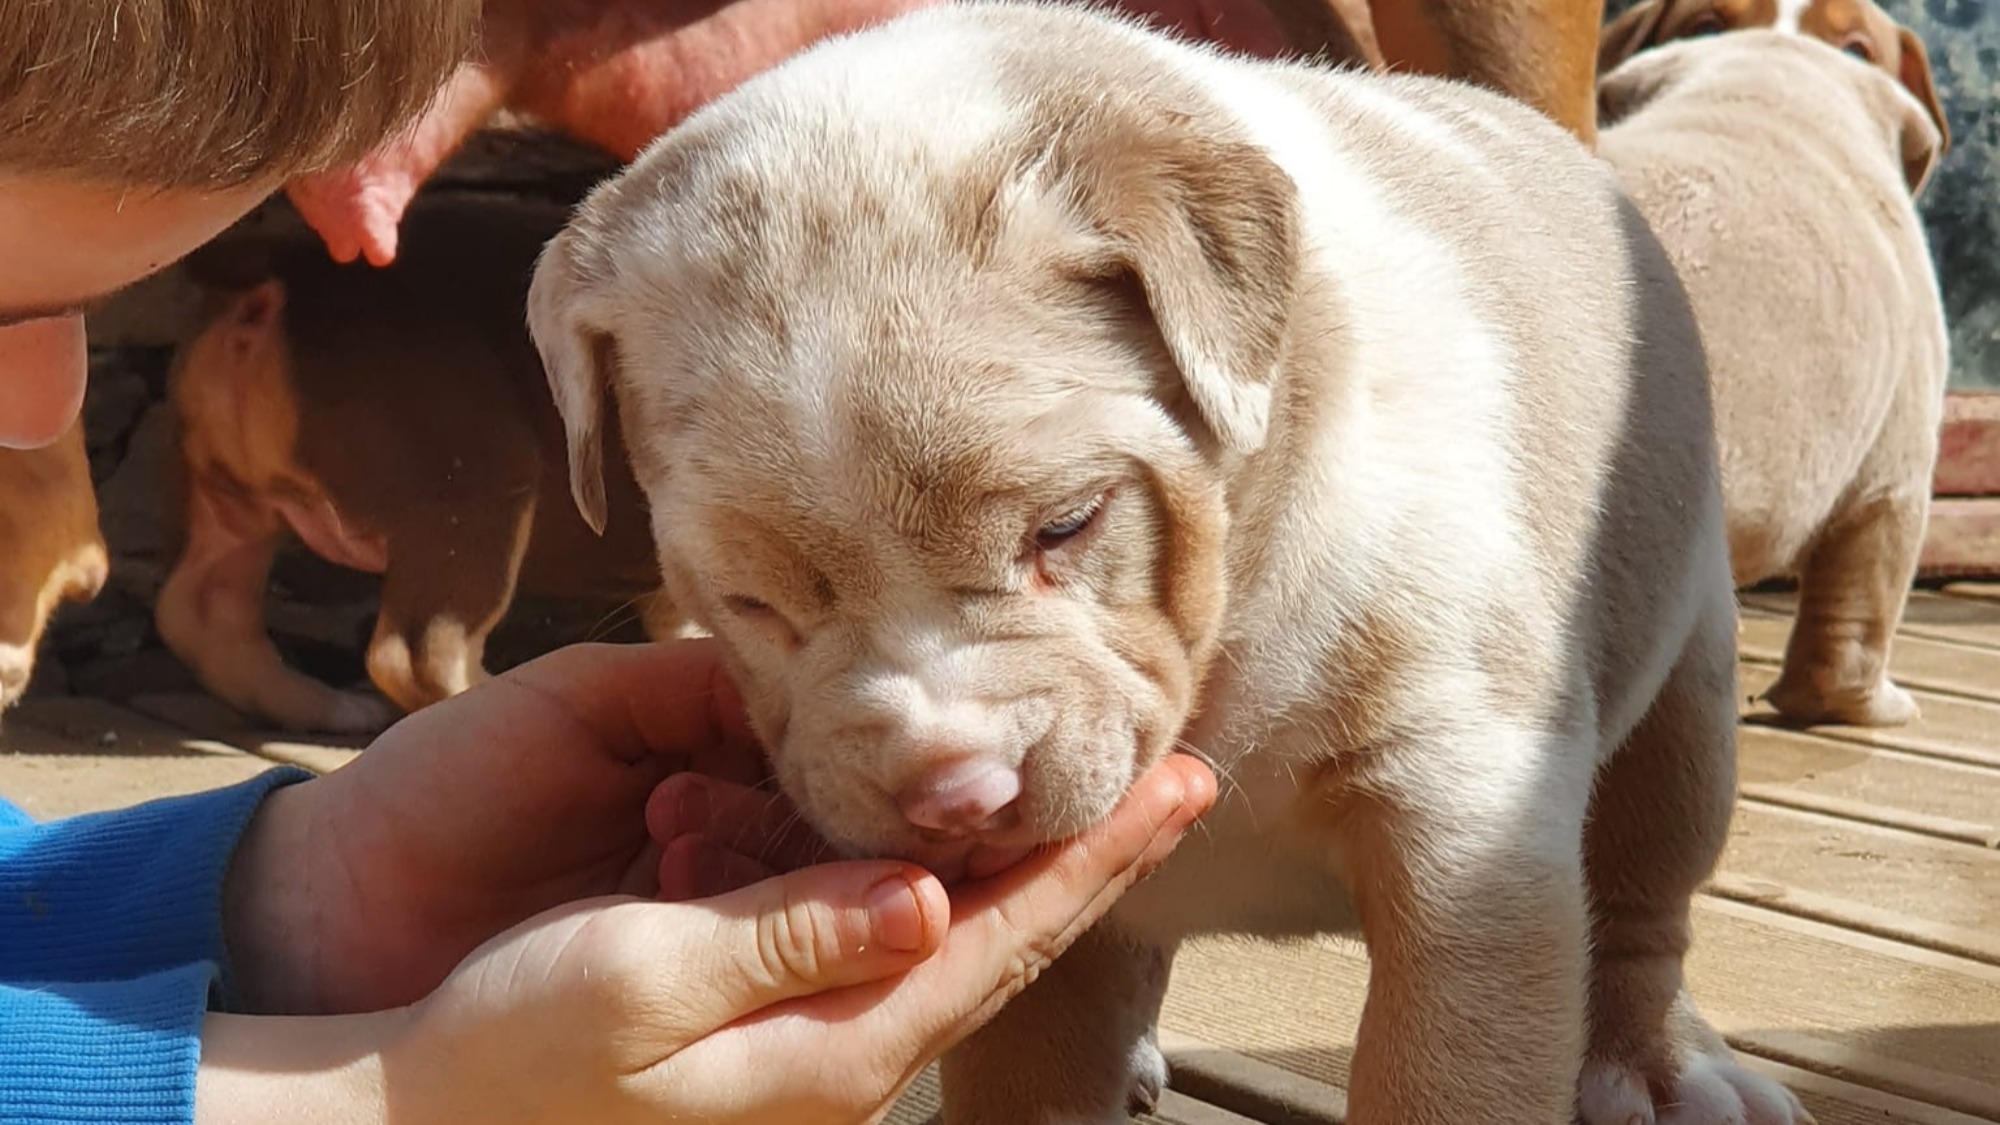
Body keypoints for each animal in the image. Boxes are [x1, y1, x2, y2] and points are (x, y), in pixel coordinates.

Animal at [524, 4, 1808, 1112]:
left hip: (1683, 691)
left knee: (1642, 893)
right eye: (749, 604)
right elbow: (1028, 1076)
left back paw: (1655, 1065)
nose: (952, 790)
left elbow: (1450, 1067)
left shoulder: (1466, 823)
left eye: (1067, 525)